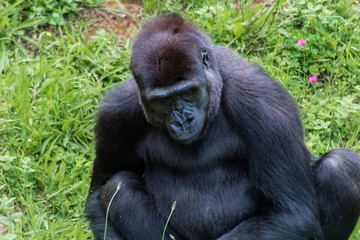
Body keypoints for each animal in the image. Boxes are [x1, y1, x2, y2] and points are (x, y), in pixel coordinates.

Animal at [86, 13, 360, 240]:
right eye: (163, 100)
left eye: (188, 92)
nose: (182, 121)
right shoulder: (118, 113)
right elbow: (97, 198)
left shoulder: (263, 104)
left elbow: (292, 213)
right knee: (119, 189)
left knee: (339, 168)